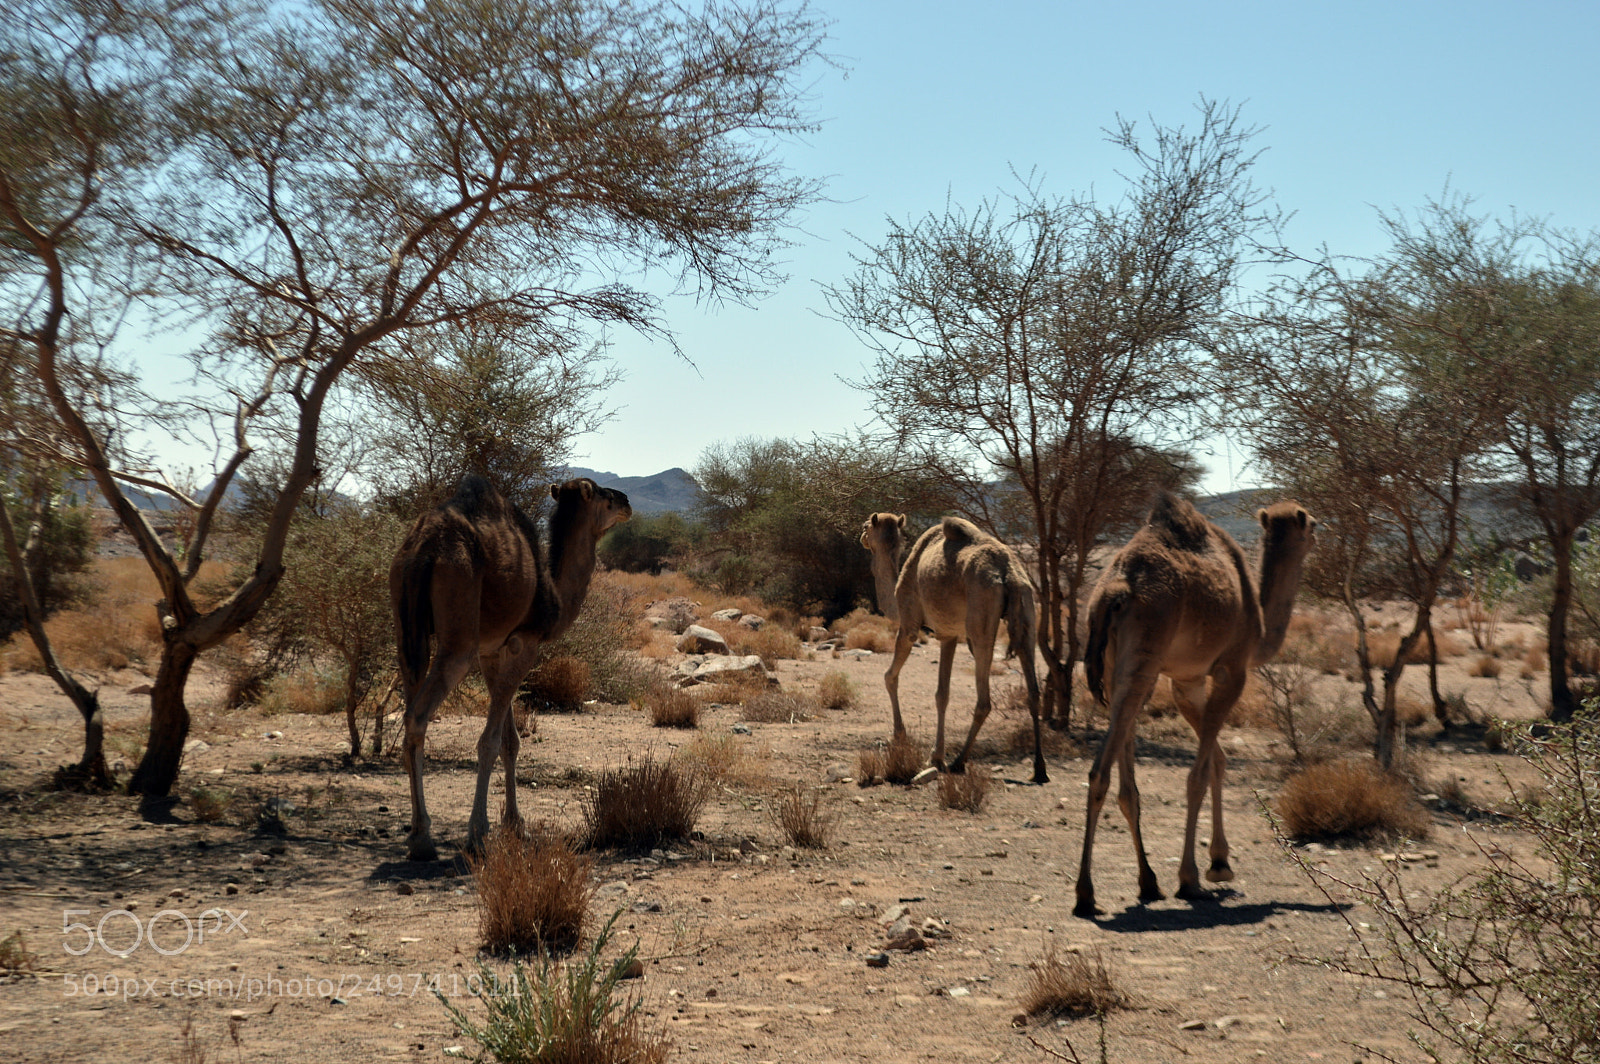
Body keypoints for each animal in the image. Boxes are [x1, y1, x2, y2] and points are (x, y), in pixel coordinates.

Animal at [390, 475, 631, 861]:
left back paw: (416, 834)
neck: (554, 597)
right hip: (458, 627)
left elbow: (510, 741)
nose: (626, 501)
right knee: (418, 715)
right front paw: (479, 833)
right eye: (605, 497)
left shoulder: (492, 650)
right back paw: (426, 839)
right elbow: (490, 741)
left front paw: (517, 825)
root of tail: (424, 550)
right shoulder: (525, 644)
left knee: (412, 699)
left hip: (406, 626)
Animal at [859, 513, 1048, 785]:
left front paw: (908, 740)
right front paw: (934, 753)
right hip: (1027, 609)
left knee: (984, 700)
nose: (861, 536)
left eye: (867, 526)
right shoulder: (949, 634)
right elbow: (943, 694)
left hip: (981, 616)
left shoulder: (911, 624)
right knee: (1033, 691)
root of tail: (1008, 574)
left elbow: (892, 677)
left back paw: (959, 761)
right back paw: (1040, 768)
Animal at [1073, 493, 1315, 918]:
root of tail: (1114, 590)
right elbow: (1198, 774)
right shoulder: (1232, 670)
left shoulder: (1187, 681)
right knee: (1102, 770)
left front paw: (1220, 862)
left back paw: (1147, 882)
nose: (1319, 531)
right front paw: (1193, 878)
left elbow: (1217, 759)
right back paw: (1087, 893)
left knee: (1122, 776)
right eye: (1312, 525)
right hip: (1147, 649)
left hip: (1120, 667)